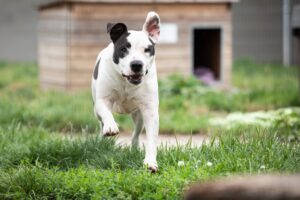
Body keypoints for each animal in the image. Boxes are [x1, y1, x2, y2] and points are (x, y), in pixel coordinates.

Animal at [91, 11, 161, 171]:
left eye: (147, 49)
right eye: (123, 49)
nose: (136, 64)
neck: (126, 82)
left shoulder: (149, 110)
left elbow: (151, 138)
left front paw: (150, 162)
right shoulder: (102, 100)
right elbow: (106, 112)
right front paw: (111, 126)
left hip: (138, 115)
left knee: (136, 132)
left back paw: (134, 147)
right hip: (96, 111)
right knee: (100, 122)